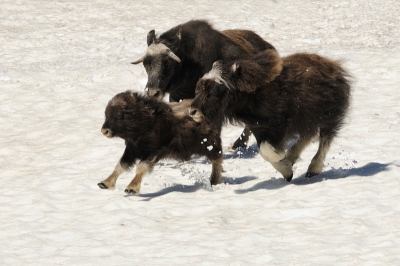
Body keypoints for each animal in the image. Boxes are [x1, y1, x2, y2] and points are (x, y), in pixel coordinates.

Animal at [190, 49, 350, 182]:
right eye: (198, 88)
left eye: (214, 90)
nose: (192, 111)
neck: (252, 95)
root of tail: (335, 67)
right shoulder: (259, 129)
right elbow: (264, 151)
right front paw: (287, 168)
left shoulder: (278, 126)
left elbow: (267, 151)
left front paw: (285, 165)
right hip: (309, 121)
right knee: (308, 136)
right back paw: (292, 157)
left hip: (328, 116)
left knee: (324, 140)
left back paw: (312, 169)